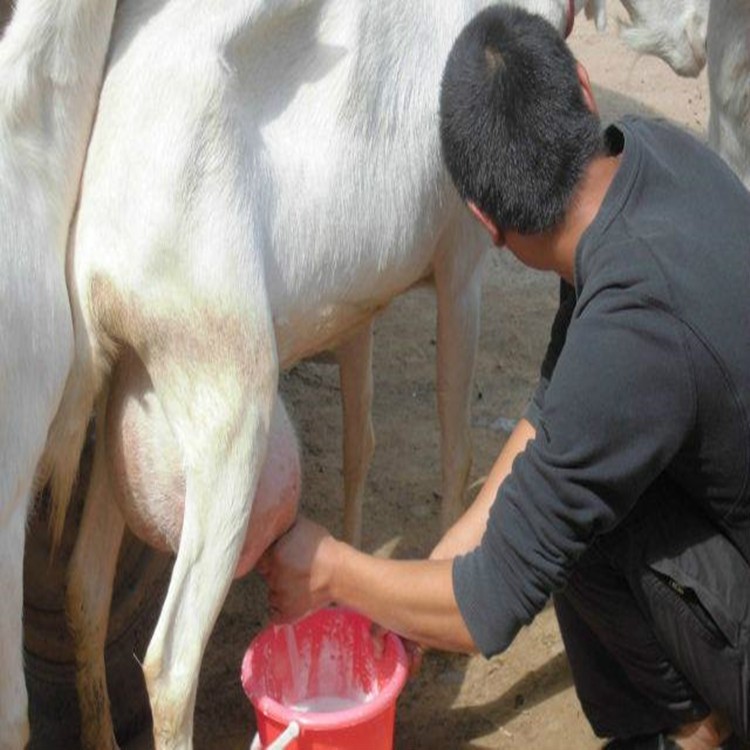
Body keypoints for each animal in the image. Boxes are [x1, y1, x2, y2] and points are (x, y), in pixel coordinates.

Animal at [45, 1, 592, 750]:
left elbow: (361, 441)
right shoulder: (463, 263)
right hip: (229, 408)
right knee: (170, 664)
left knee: (85, 590)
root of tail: (96, 256)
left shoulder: (357, 303)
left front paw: (353, 559)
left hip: (125, 397)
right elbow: (456, 445)